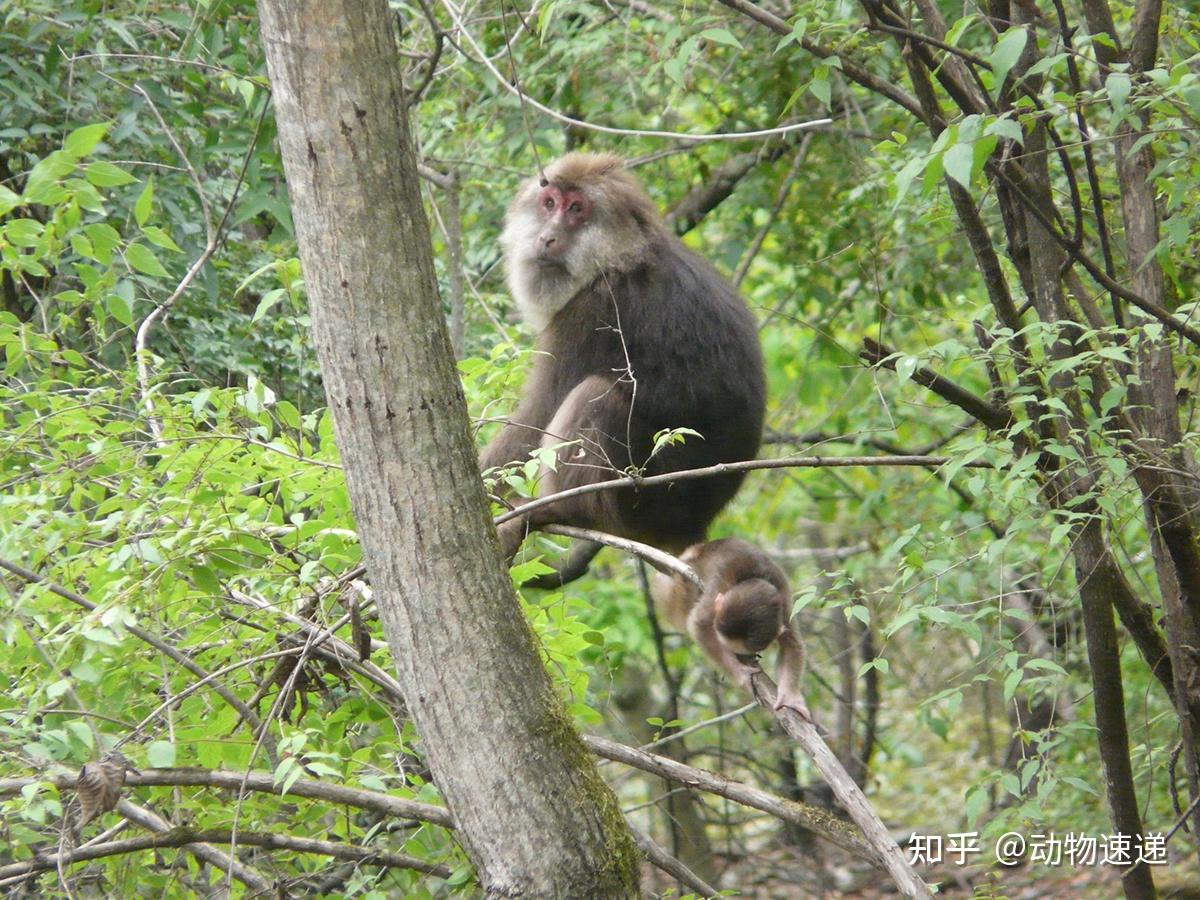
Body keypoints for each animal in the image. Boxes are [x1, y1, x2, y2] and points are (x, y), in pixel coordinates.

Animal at [480, 153, 768, 585]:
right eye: (549, 203)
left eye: (576, 209)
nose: (547, 237)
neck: (619, 258)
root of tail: (691, 527)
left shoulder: (593, 314)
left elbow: (535, 419)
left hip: (643, 500)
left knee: (595, 393)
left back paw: (561, 510)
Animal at [652, 540, 811, 724]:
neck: (751, 576)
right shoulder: (717, 589)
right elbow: (698, 625)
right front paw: (741, 675)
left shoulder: (783, 604)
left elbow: (791, 644)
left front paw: (789, 699)